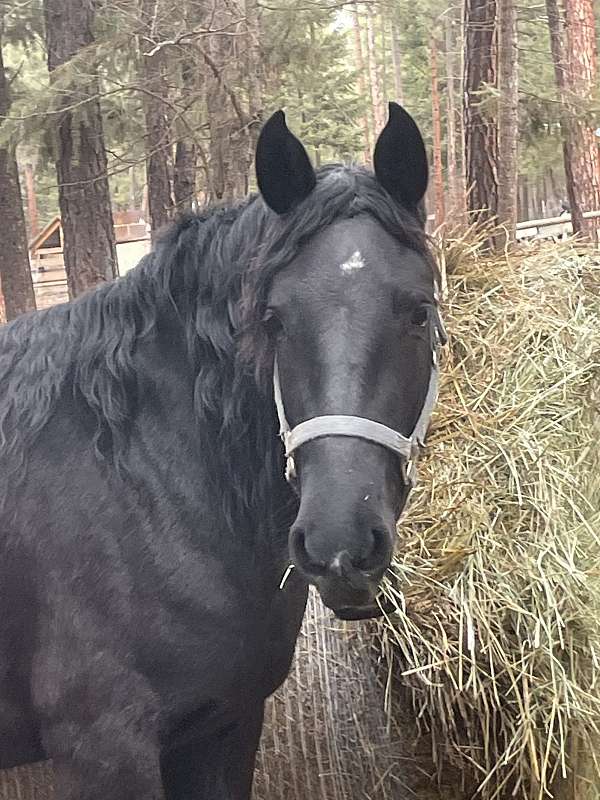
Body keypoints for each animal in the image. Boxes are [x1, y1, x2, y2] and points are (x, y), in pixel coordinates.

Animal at [0, 103, 440, 796]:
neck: (139, 480)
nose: (338, 545)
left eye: (420, 312)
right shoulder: (104, 748)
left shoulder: (224, 725)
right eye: (273, 319)